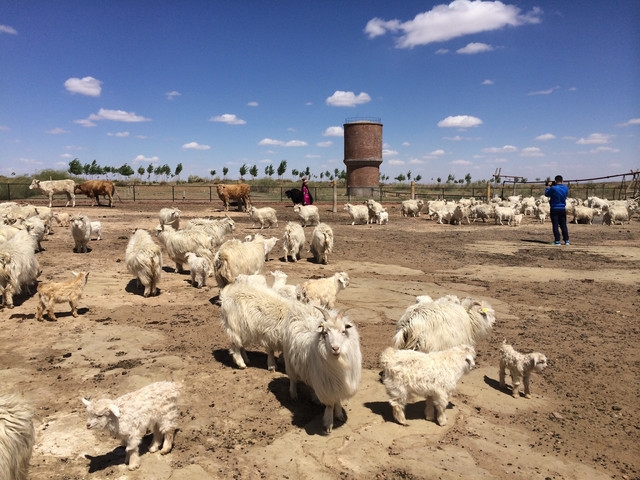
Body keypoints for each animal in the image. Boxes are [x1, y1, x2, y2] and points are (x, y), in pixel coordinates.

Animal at [282, 308, 362, 436]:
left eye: (343, 331)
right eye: (325, 333)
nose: (335, 348)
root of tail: (301, 309)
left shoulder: (337, 383)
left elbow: (337, 399)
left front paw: (339, 414)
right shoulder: (327, 384)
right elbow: (329, 405)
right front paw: (329, 424)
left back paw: (315, 398)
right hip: (289, 361)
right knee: (293, 379)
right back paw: (293, 394)